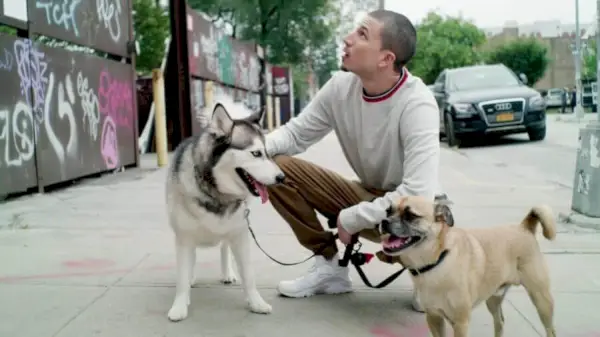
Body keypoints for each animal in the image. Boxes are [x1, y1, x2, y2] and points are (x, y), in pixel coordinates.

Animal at [165, 98, 284, 320]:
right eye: (256, 153)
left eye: (268, 153)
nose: (282, 178)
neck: (218, 194)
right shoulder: (185, 237)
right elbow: (183, 276)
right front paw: (179, 306)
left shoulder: (240, 234)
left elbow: (249, 274)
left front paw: (256, 303)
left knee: (224, 247)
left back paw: (227, 273)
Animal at [380, 196, 556, 336]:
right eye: (388, 211)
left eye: (410, 216)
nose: (384, 221)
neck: (437, 261)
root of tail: (524, 227)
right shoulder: (434, 317)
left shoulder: (460, 324)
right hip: (493, 299)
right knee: (499, 322)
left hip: (541, 300)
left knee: (550, 330)